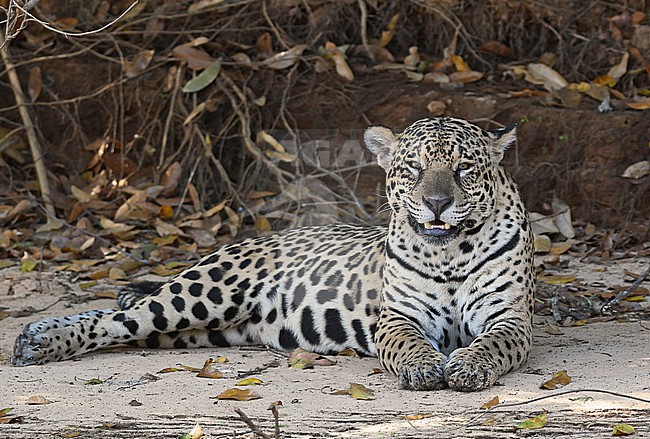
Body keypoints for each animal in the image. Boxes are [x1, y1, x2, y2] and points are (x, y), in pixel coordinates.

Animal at [12, 117, 535, 392]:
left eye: (464, 169)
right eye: (414, 169)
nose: (437, 203)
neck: (451, 253)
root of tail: (249, 239)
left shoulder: (509, 316)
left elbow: (492, 344)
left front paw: (467, 365)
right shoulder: (398, 317)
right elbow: (407, 343)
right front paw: (423, 366)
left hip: (200, 331)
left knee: (130, 324)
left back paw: (38, 335)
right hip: (205, 293)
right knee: (117, 319)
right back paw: (39, 341)